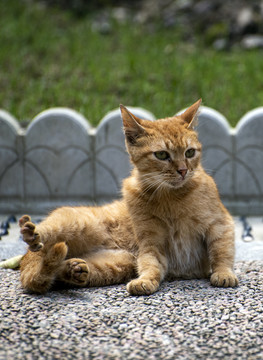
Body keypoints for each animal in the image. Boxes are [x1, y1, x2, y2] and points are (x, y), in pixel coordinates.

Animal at [19, 100, 239, 294]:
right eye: (162, 155)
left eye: (190, 152)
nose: (183, 171)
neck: (171, 197)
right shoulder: (150, 241)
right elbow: (151, 264)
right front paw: (146, 280)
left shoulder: (220, 225)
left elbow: (221, 252)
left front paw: (223, 274)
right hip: (76, 224)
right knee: (42, 238)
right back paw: (34, 234)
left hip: (115, 265)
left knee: (58, 272)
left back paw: (74, 269)